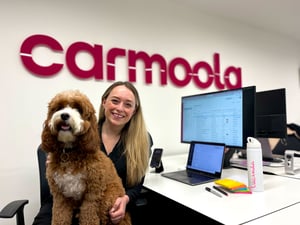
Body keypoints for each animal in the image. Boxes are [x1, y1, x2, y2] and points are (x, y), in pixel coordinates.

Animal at [41, 89, 131, 225]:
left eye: (78, 109)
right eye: (60, 107)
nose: (64, 115)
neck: (70, 152)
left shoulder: (92, 195)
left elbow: (89, 216)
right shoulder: (60, 196)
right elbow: (60, 216)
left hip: (107, 198)